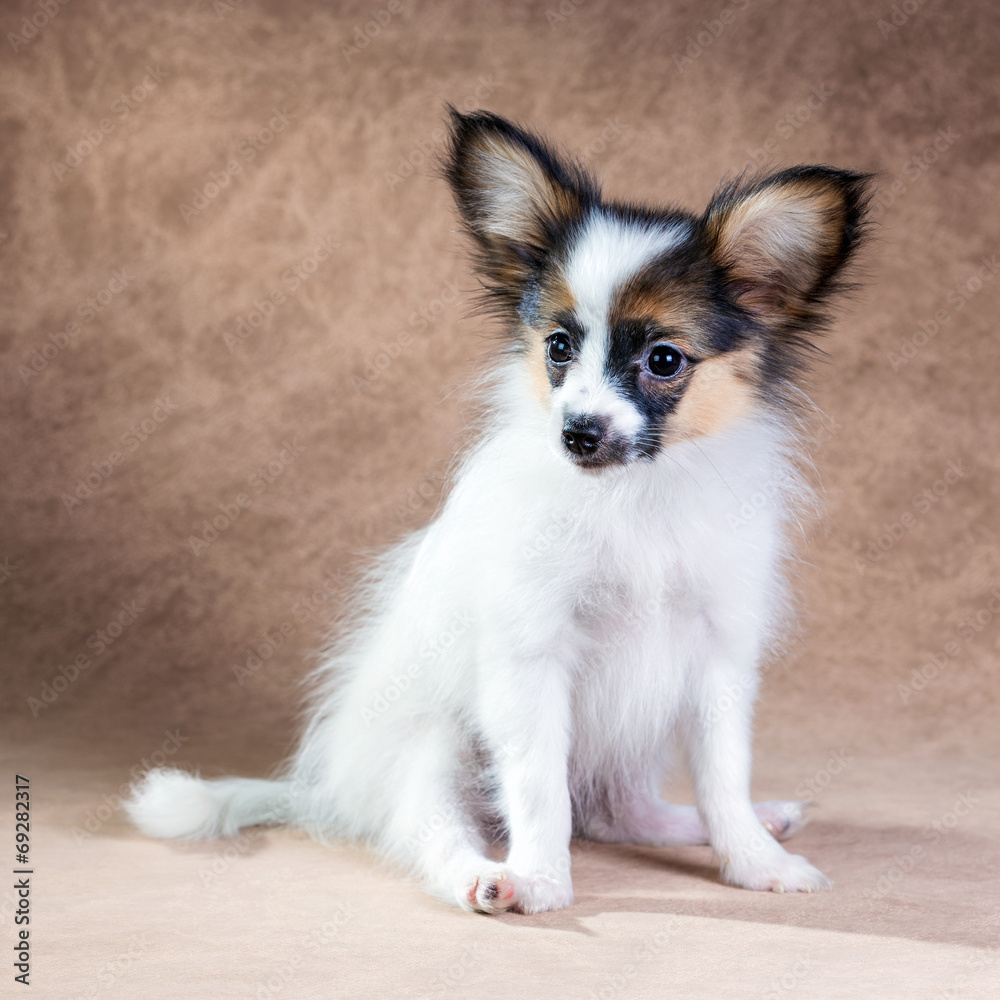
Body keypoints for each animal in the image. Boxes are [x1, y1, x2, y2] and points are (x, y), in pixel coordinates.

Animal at [129, 109, 872, 916]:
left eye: (665, 360)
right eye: (558, 347)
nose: (578, 432)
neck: (631, 497)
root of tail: (330, 792)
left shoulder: (716, 657)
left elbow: (723, 778)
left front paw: (755, 860)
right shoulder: (529, 657)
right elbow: (539, 788)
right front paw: (542, 879)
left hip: (628, 741)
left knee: (618, 810)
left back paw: (746, 823)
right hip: (433, 748)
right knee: (437, 831)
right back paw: (485, 877)